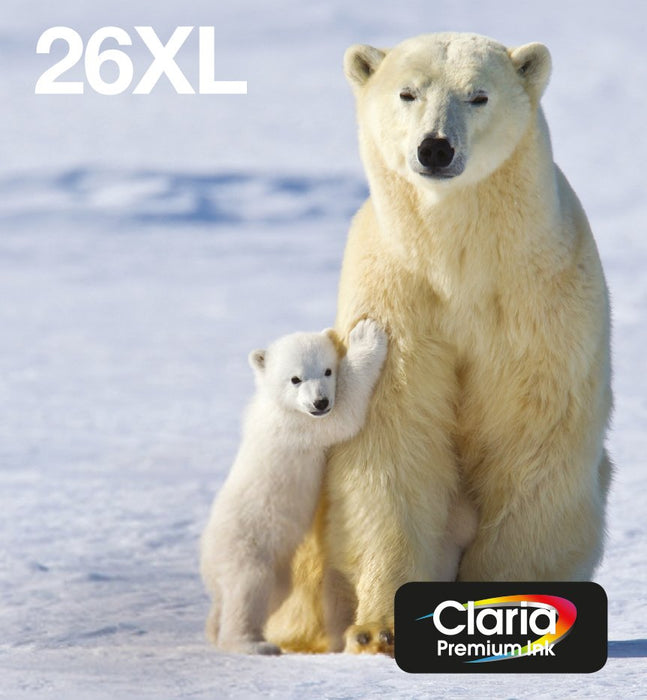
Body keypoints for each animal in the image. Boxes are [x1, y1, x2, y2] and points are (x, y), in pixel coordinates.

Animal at [200, 319, 387, 654]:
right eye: (295, 378)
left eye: (327, 370)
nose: (320, 402)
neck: (277, 405)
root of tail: (208, 564)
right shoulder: (300, 426)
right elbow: (344, 414)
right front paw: (365, 335)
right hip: (246, 548)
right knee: (247, 588)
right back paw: (254, 644)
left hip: (277, 569)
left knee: (272, 594)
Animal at [265, 32, 612, 655]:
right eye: (408, 92)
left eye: (478, 95)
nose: (435, 149)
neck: (459, 261)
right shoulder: (399, 299)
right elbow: (394, 441)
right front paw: (379, 629)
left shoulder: (538, 303)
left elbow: (531, 439)